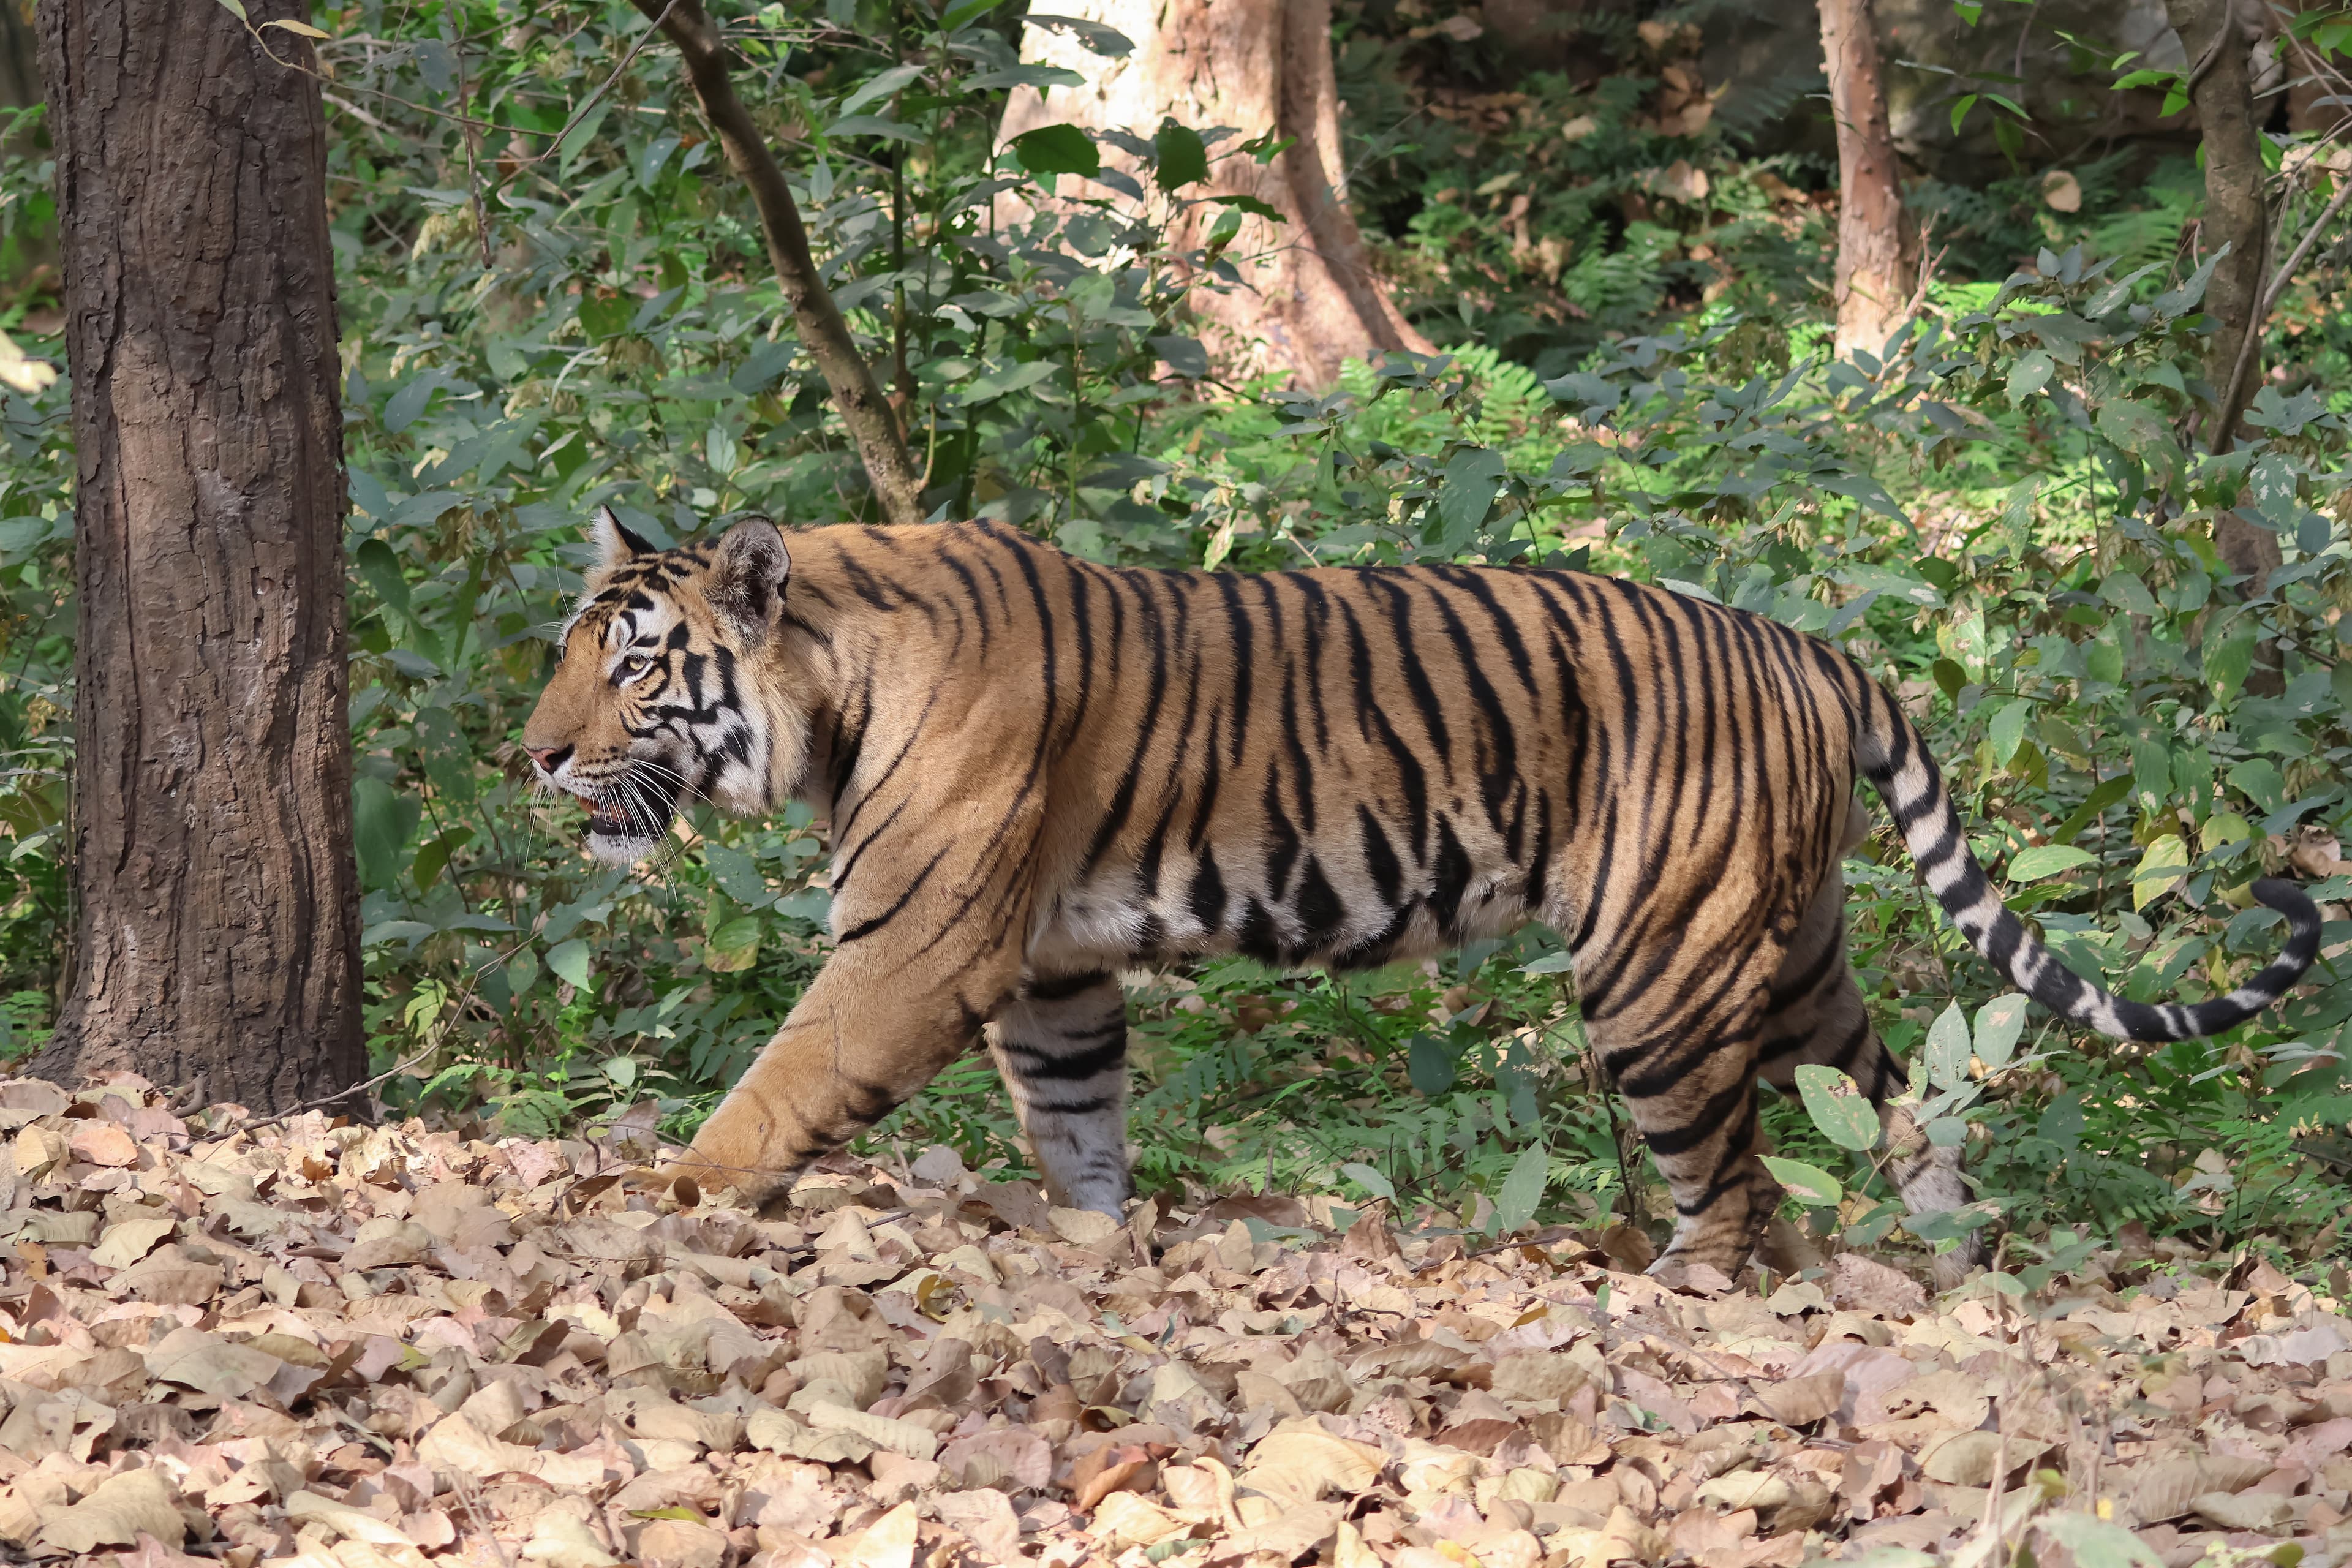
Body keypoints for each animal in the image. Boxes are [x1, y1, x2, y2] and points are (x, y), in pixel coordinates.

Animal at [521, 508, 2320, 1283]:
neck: (827, 687)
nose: (530, 754)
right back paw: (1953, 1252)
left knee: (1733, 1185)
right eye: (569, 650)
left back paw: (1682, 1300)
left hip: (1659, 972)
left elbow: (778, 1086)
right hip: (1794, 951)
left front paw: (669, 1196)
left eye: (633, 667)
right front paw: (1097, 1250)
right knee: (1896, 1101)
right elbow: (1079, 1122)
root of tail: (1810, 645)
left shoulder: (918, 946)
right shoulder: (1049, 967)